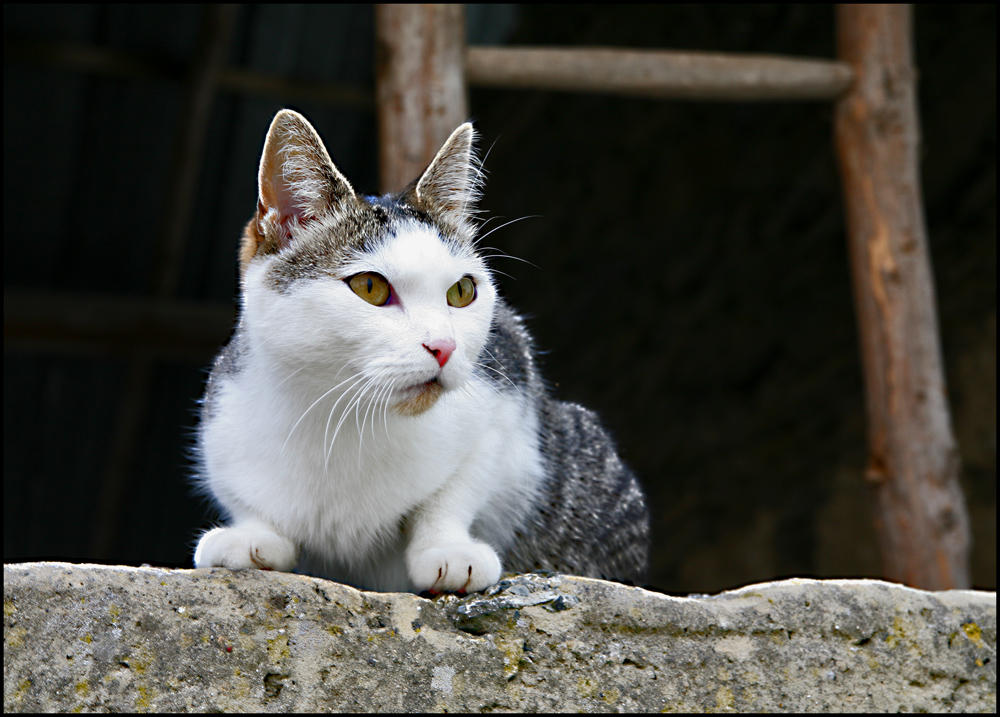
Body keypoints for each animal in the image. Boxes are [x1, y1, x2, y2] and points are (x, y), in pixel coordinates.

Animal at [193, 109, 648, 592]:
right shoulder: (221, 418)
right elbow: (243, 495)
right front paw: (252, 534)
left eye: (463, 291)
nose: (444, 346)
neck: (342, 418)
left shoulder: (507, 399)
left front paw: (446, 547)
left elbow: (456, 488)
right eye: (370, 287)